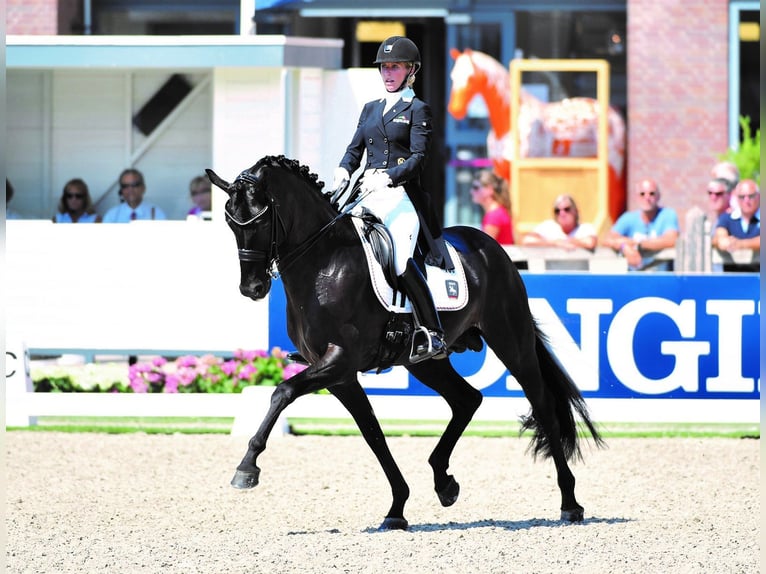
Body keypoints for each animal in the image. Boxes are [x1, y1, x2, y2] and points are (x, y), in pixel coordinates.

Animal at [206, 155, 604, 530]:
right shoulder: (340, 375)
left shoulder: (339, 360)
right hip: (425, 361)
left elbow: (282, 393)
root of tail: (491, 247)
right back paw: (444, 482)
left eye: (259, 221)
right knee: (467, 399)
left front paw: (247, 468)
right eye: (230, 222)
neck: (324, 263)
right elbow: (373, 435)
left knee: (543, 405)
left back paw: (570, 503)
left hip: (511, 341)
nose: (252, 288)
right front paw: (397, 508)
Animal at [447, 48, 626, 223]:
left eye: (470, 78)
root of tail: (614, 113)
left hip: (613, 167)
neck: (509, 122)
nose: (455, 110)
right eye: (452, 76)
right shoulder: (503, 170)